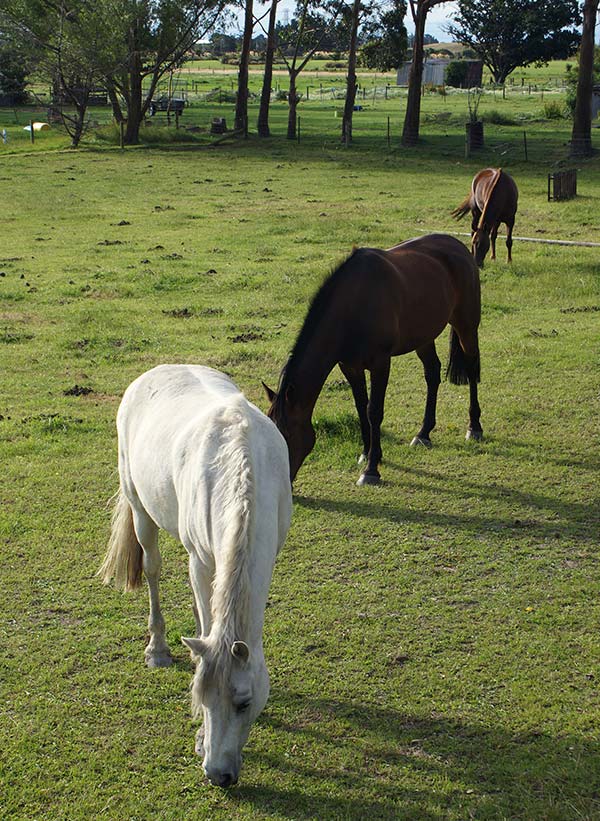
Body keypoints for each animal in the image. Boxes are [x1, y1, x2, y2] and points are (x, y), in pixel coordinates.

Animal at [98, 364, 292, 788]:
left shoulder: (266, 560)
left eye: (244, 703)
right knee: (153, 569)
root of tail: (155, 371)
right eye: (200, 698)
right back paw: (157, 649)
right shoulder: (201, 559)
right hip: (141, 509)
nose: (217, 775)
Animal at [263, 233, 482, 487]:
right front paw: (366, 453)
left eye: (287, 436)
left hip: (466, 325)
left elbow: (374, 411)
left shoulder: (380, 363)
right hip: (423, 336)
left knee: (471, 368)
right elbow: (361, 407)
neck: (354, 307)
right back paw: (423, 433)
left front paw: (371, 469)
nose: (278, 482)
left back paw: (474, 427)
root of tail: (459, 247)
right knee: (432, 373)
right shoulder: (350, 366)